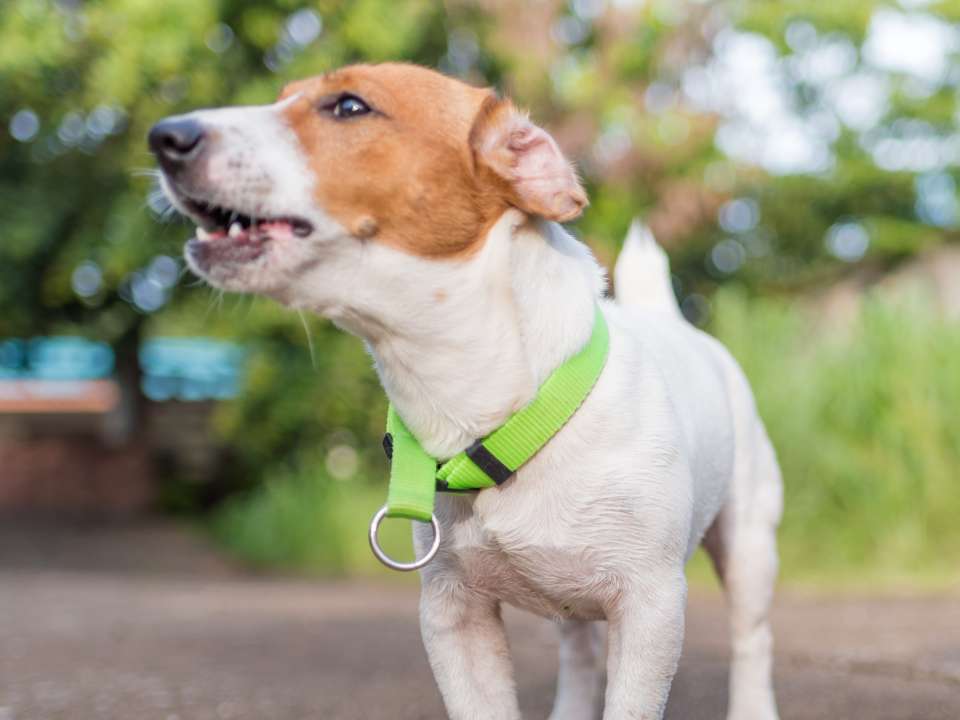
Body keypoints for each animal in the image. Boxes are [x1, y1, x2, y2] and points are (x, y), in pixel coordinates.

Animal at [150, 63, 780, 720]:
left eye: (349, 106)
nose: (164, 136)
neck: (492, 414)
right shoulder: (453, 612)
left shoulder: (649, 608)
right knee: (580, 653)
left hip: (750, 546)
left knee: (751, 639)